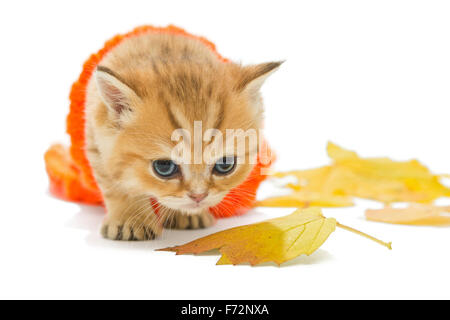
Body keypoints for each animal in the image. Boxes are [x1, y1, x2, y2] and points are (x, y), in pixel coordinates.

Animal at [84, 31, 280, 240]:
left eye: (225, 164)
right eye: (164, 166)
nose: (198, 196)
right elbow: (116, 185)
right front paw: (130, 219)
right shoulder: (96, 138)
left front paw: (186, 215)